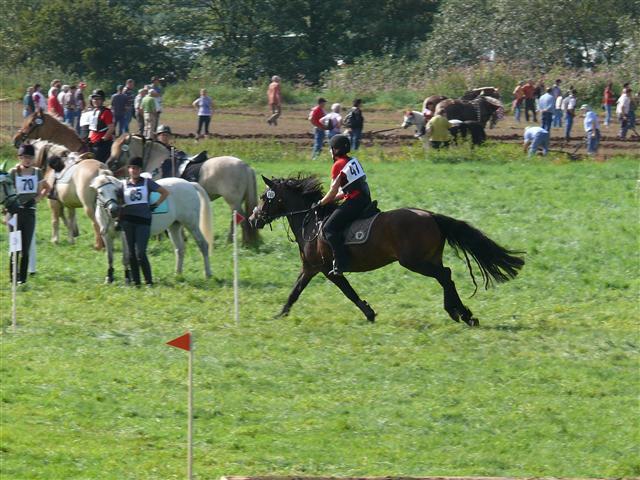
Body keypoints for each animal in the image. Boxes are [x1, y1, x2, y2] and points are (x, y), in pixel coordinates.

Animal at [108, 134, 259, 246]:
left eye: (121, 147)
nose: (109, 164)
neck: (159, 162)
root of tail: (245, 166)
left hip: (233, 201)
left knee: (240, 219)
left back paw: (240, 242)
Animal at [249, 175, 525, 326]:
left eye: (264, 197)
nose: (253, 219)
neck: (311, 222)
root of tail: (431, 216)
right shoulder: (311, 269)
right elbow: (296, 291)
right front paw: (280, 314)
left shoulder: (325, 269)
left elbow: (345, 292)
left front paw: (369, 313)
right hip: (428, 258)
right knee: (446, 275)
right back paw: (463, 314)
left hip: (413, 261)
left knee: (445, 276)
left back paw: (459, 313)